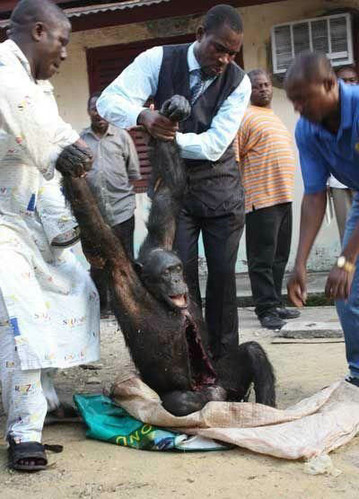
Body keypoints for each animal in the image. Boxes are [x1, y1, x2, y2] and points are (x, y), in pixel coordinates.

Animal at [56, 94, 278, 418]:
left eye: (176, 269)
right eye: (166, 274)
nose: (177, 282)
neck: (156, 294)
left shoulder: (163, 238)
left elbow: (169, 193)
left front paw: (171, 112)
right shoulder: (117, 265)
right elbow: (97, 229)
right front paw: (70, 164)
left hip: (220, 373)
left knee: (252, 353)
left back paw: (265, 411)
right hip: (180, 392)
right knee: (185, 400)